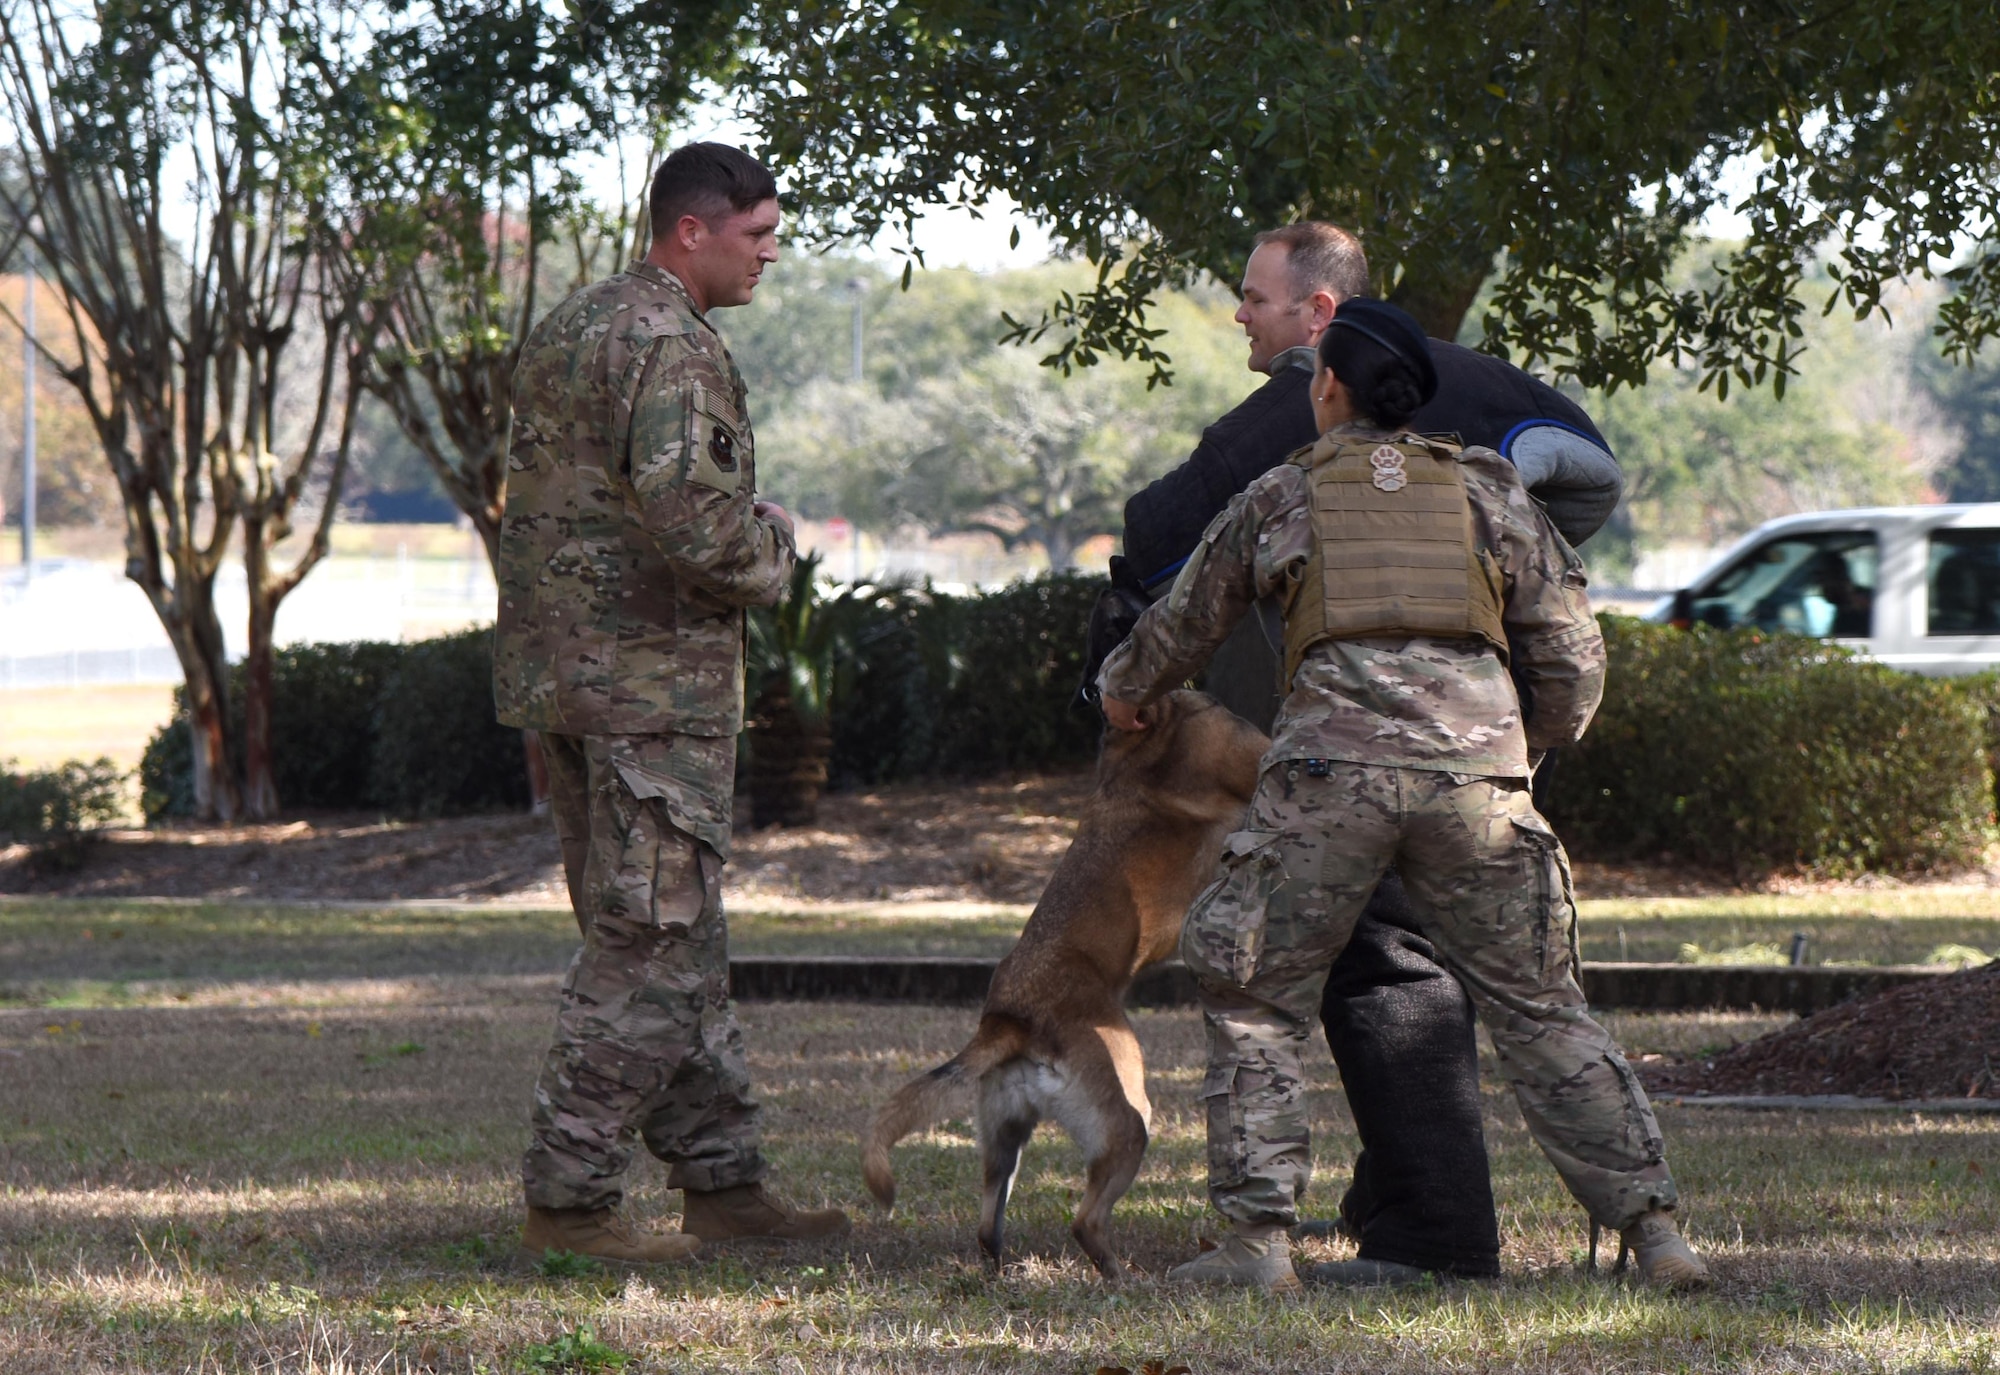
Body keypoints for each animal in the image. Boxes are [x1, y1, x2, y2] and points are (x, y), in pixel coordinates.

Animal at [860, 691, 1264, 1287]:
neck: (1147, 734)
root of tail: (1009, 1020)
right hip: (1129, 1121)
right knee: (1086, 1221)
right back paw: (1123, 1279)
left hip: (1005, 1140)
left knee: (988, 1226)